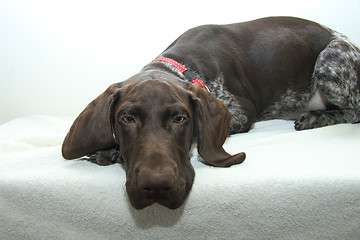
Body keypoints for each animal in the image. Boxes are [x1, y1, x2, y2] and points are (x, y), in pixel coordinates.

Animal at [62, 16, 360, 209]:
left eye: (180, 119)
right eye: (127, 118)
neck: (183, 65)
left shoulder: (240, 112)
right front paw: (108, 148)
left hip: (331, 60)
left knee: (354, 112)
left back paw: (314, 117)